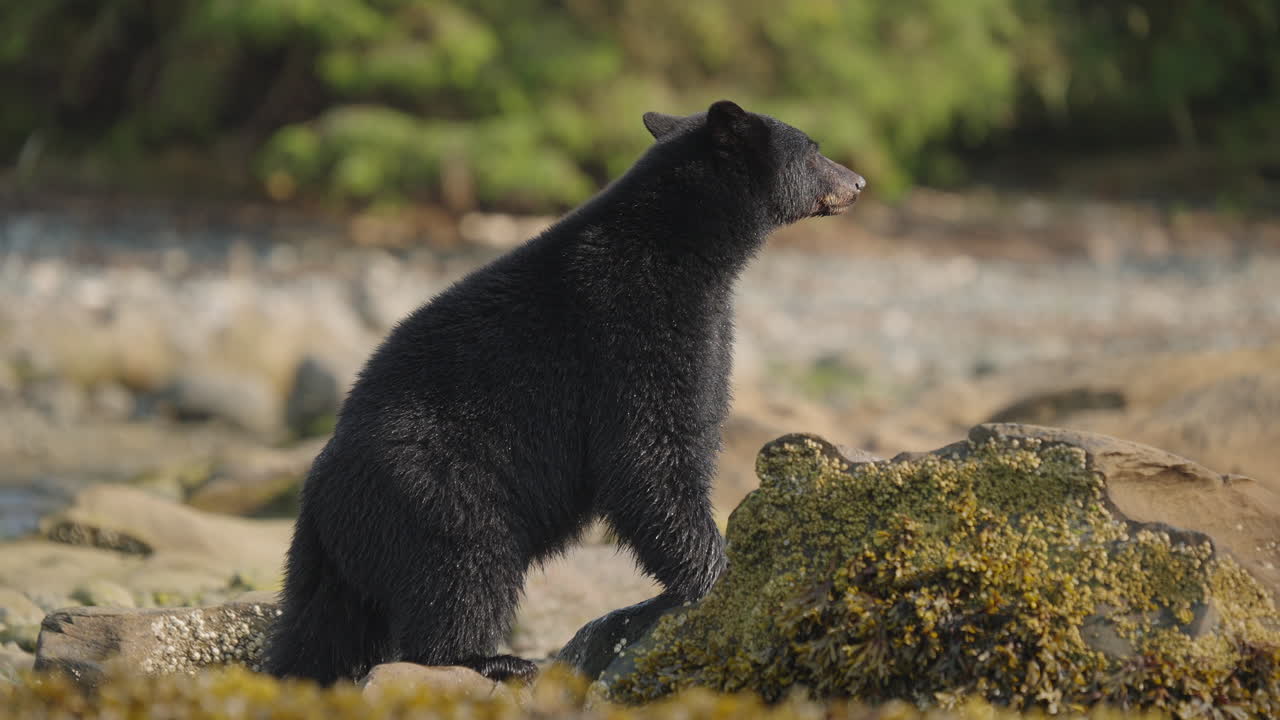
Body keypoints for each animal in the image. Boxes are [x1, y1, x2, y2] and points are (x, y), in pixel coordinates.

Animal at [263, 100, 866, 685]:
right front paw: (714, 575)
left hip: (330, 562)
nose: (859, 182)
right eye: (814, 149)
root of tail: (319, 496)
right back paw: (491, 659)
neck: (682, 244)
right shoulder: (632, 327)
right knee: (463, 570)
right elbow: (647, 451)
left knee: (320, 628)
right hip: (438, 490)